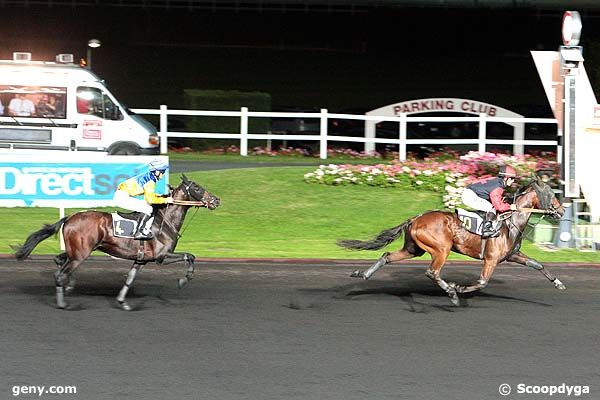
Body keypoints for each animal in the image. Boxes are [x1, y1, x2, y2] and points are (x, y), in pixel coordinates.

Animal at [14, 174, 220, 310]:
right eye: (197, 188)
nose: (216, 200)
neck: (165, 221)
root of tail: (70, 217)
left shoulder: (141, 259)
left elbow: (129, 278)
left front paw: (122, 301)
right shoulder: (161, 256)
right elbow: (190, 256)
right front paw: (182, 280)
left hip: (76, 250)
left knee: (59, 260)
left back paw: (69, 285)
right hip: (81, 253)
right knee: (60, 272)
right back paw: (63, 302)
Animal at [340, 177, 564, 304]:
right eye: (551, 194)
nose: (561, 211)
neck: (510, 222)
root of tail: (416, 218)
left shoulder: (512, 255)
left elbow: (537, 264)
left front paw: (558, 283)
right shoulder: (490, 259)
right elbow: (482, 282)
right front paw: (460, 288)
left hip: (413, 249)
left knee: (387, 255)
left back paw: (363, 274)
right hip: (441, 249)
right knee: (432, 272)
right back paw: (452, 293)